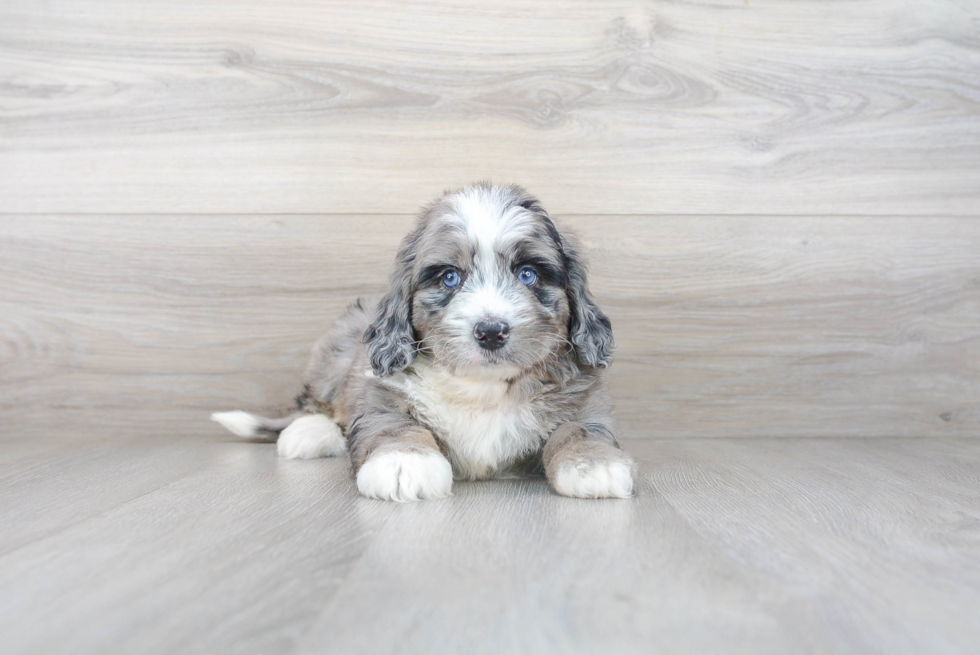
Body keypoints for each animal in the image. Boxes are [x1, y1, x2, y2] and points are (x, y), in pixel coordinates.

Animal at [212, 183, 636, 502]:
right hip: (338, 346)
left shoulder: (584, 398)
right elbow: (394, 425)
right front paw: (404, 462)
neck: (483, 388)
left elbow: (581, 428)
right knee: (315, 405)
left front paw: (594, 463)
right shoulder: (381, 392)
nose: (491, 331)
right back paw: (308, 433)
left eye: (528, 274)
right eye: (449, 277)